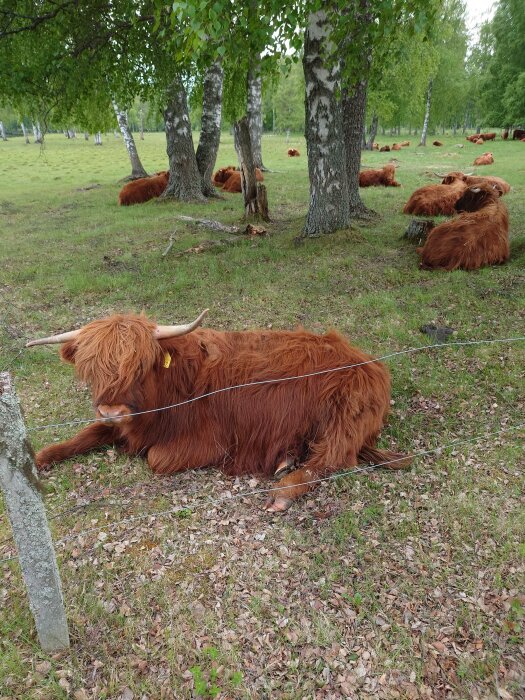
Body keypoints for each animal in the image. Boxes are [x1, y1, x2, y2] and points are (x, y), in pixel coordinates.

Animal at [26, 314, 410, 512]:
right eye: (90, 371)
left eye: (140, 367)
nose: (111, 409)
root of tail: (369, 361)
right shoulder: (122, 425)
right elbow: (85, 434)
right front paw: (41, 457)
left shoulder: (208, 441)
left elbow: (155, 458)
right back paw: (287, 457)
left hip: (344, 416)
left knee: (333, 459)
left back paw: (284, 490)